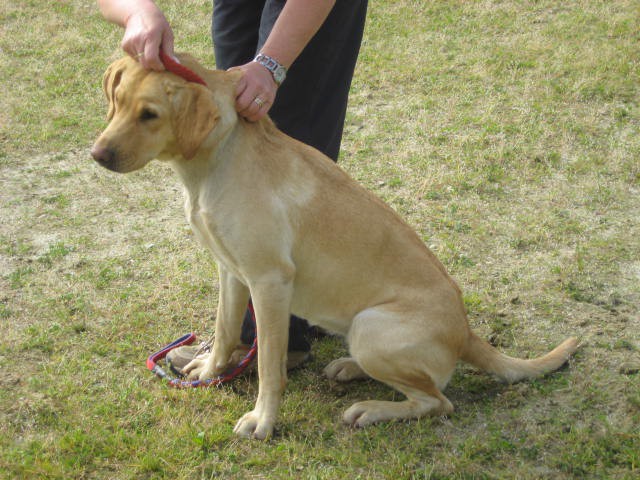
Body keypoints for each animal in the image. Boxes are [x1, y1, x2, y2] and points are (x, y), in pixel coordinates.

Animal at [91, 55, 580, 438]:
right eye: (117, 100)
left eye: (150, 114)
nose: (98, 155)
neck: (213, 162)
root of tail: (466, 333)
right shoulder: (231, 271)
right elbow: (227, 330)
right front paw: (211, 372)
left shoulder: (269, 283)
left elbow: (270, 366)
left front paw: (263, 420)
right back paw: (349, 368)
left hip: (371, 327)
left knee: (438, 401)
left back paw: (371, 409)